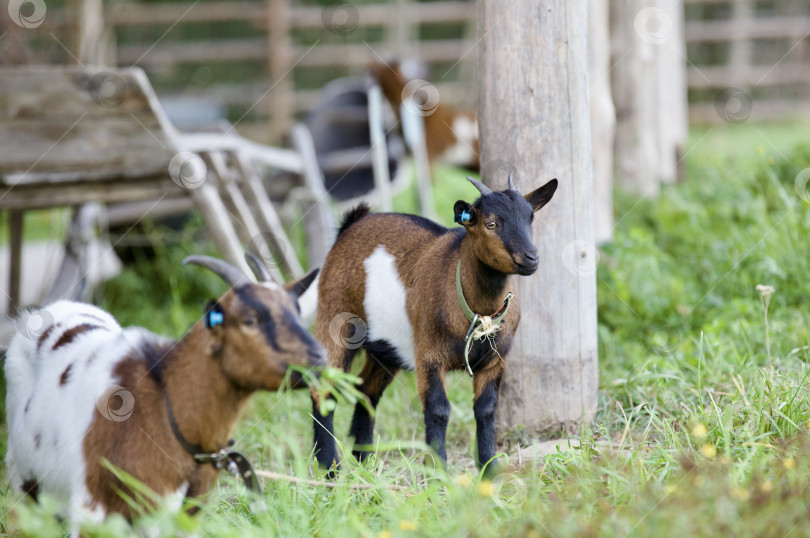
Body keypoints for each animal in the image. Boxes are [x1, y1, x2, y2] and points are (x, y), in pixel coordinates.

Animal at [310, 174, 556, 472]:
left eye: (531, 218)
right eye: (491, 223)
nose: (531, 257)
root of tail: (350, 226)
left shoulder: (495, 361)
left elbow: (486, 410)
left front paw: (489, 470)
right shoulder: (429, 356)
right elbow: (438, 410)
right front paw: (439, 472)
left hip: (386, 350)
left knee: (366, 390)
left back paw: (364, 461)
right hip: (334, 318)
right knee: (323, 391)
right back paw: (329, 468)